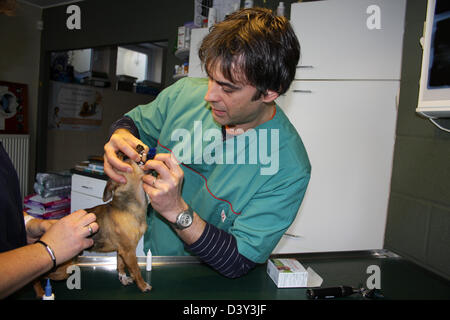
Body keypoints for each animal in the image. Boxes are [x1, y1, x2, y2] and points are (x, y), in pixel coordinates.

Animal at [33, 146, 152, 298]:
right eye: (124, 158)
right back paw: (40, 291)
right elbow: (136, 270)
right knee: (39, 276)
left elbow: (120, 264)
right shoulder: (128, 251)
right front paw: (143, 285)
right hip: (63, 268)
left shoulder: (121, 250)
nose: (139, 146)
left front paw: (123, 278)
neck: (129, 206)